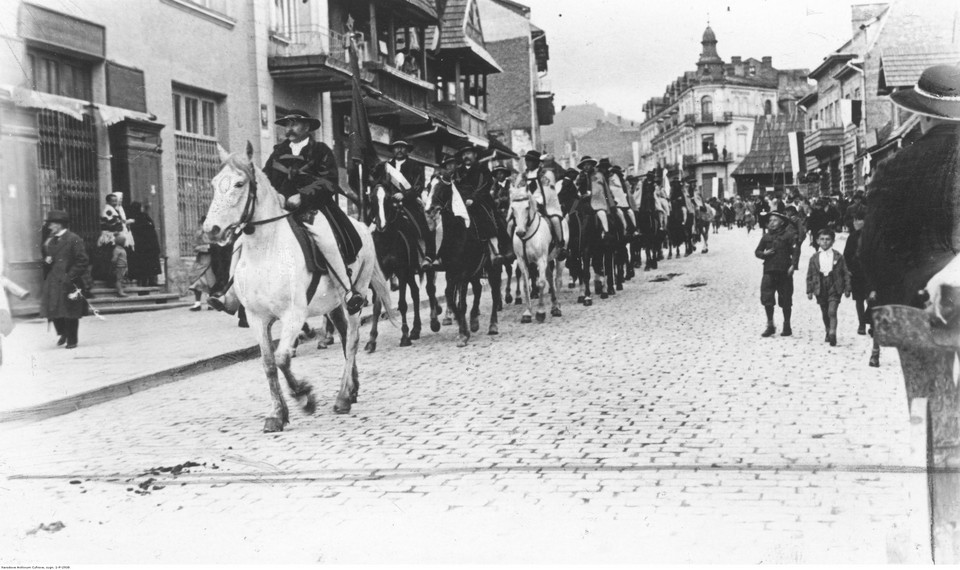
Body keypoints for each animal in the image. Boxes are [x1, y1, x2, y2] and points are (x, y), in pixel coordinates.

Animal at [204, 143, 392, 430]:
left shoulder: (293, 315)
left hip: (356, 296)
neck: (266, 251)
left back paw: (342, 398)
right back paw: (352, 389)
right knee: (343, 335)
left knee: (352, 340)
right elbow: (269, 364)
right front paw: (277, 414)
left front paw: (304, 398)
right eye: (215, 184)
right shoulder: (258, 319)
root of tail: (362, 225)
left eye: (239, 183)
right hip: (333, 304)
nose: (211, 229)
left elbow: (282, 358)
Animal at [506, 189, 560, 322]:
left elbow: (541, 283)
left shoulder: (541, 260)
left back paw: (557, 307)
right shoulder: (522, 261)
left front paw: (540, 312)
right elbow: (526, 285)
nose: (520, 232)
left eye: (527, 207)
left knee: (555, 279)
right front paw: (527, 312)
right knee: (550, 278)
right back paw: (554, 306)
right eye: (512, 208)